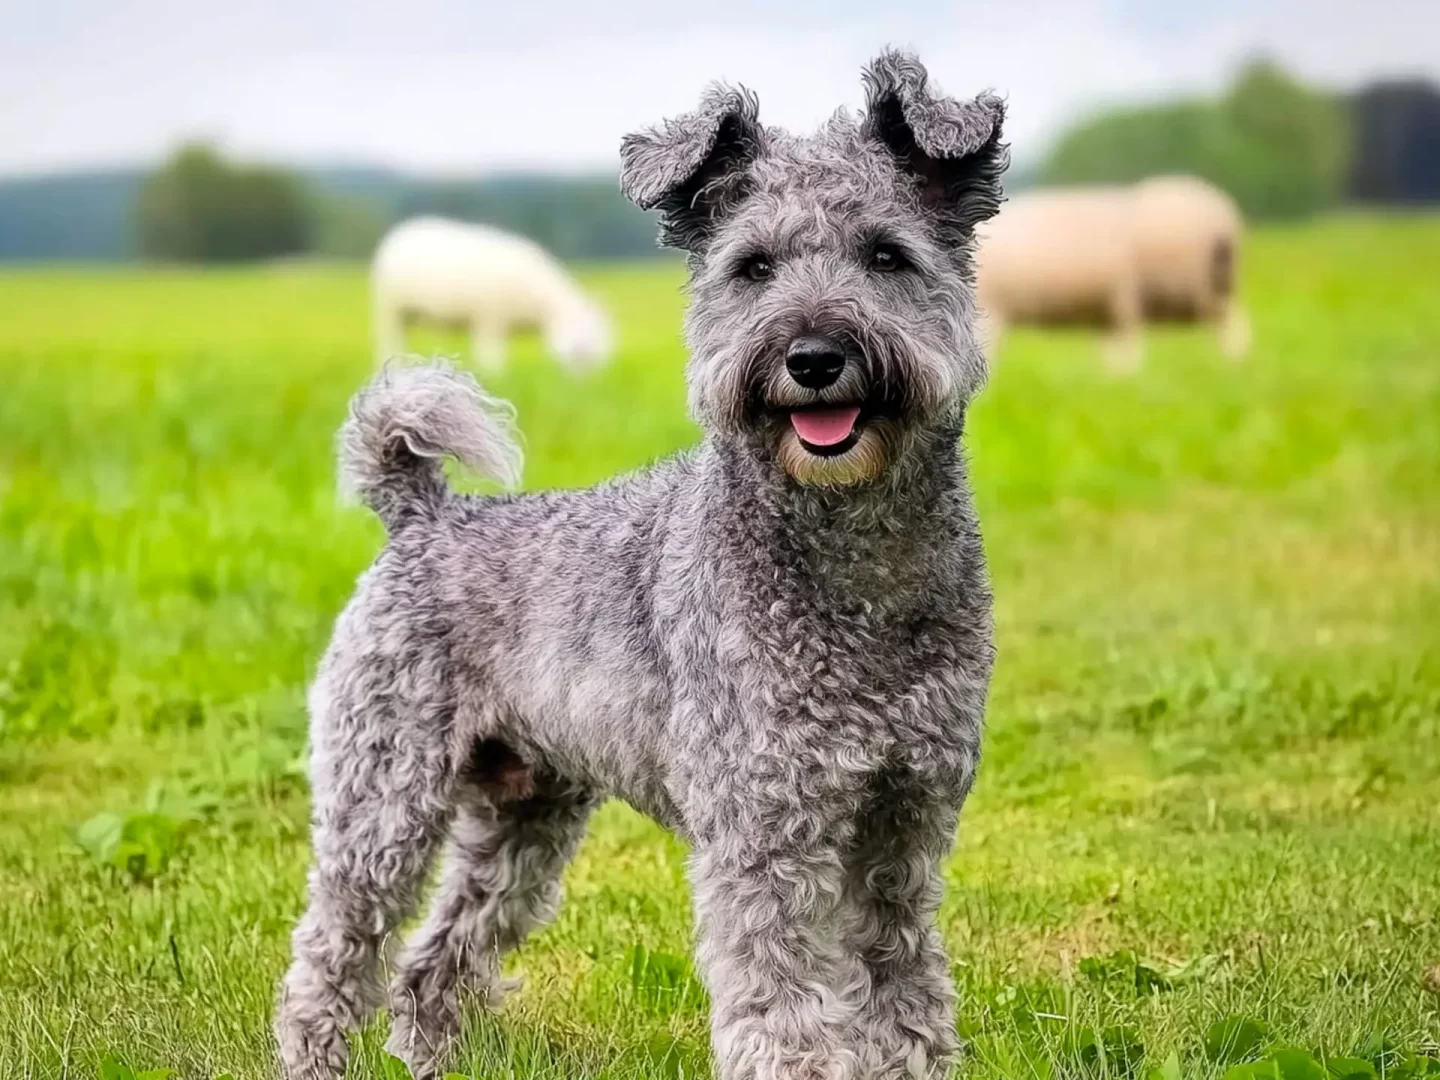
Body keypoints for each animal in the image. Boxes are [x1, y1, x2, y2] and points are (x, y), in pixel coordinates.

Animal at [371, 217, 614, 372]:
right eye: (581, 332)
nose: (591, 375)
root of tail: (398, 233)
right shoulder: (490, 318)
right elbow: (492, 356)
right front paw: (496, 376)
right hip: (390, 308)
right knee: (389, 341)